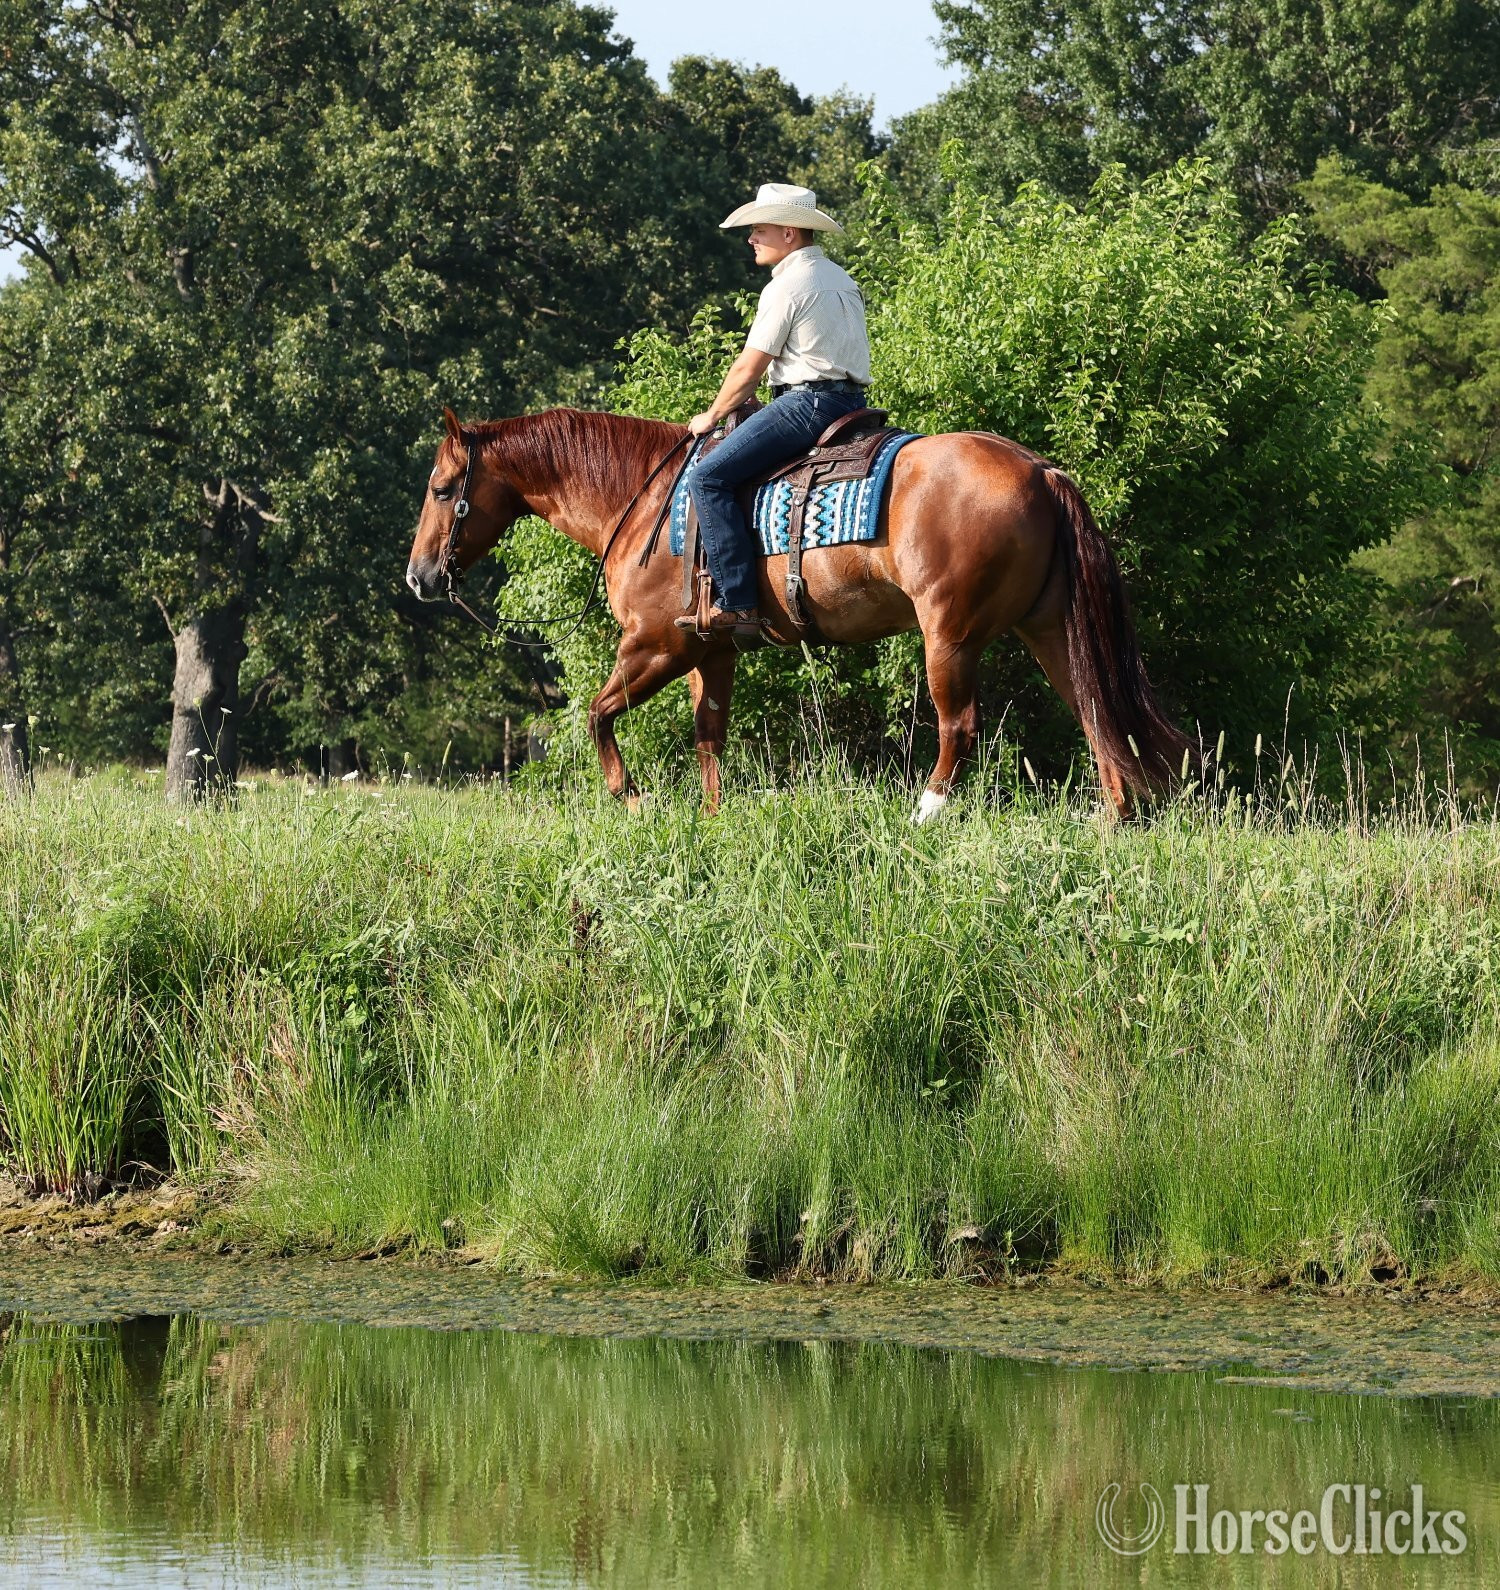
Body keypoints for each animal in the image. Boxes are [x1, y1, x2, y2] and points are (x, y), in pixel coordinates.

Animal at [405, 406, 1190, 819]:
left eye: (443, 489)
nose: (419, 576)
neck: (644, 501)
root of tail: (1040, 471)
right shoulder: (710, 651)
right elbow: (710, 737)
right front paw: (713, 818)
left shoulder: (654, 644)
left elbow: (598, 715)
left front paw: (632, 799)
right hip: (1049, 629)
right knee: (1095, 713)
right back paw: (1112, 822)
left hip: (949, 635)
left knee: (959, 729)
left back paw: (926, 813)